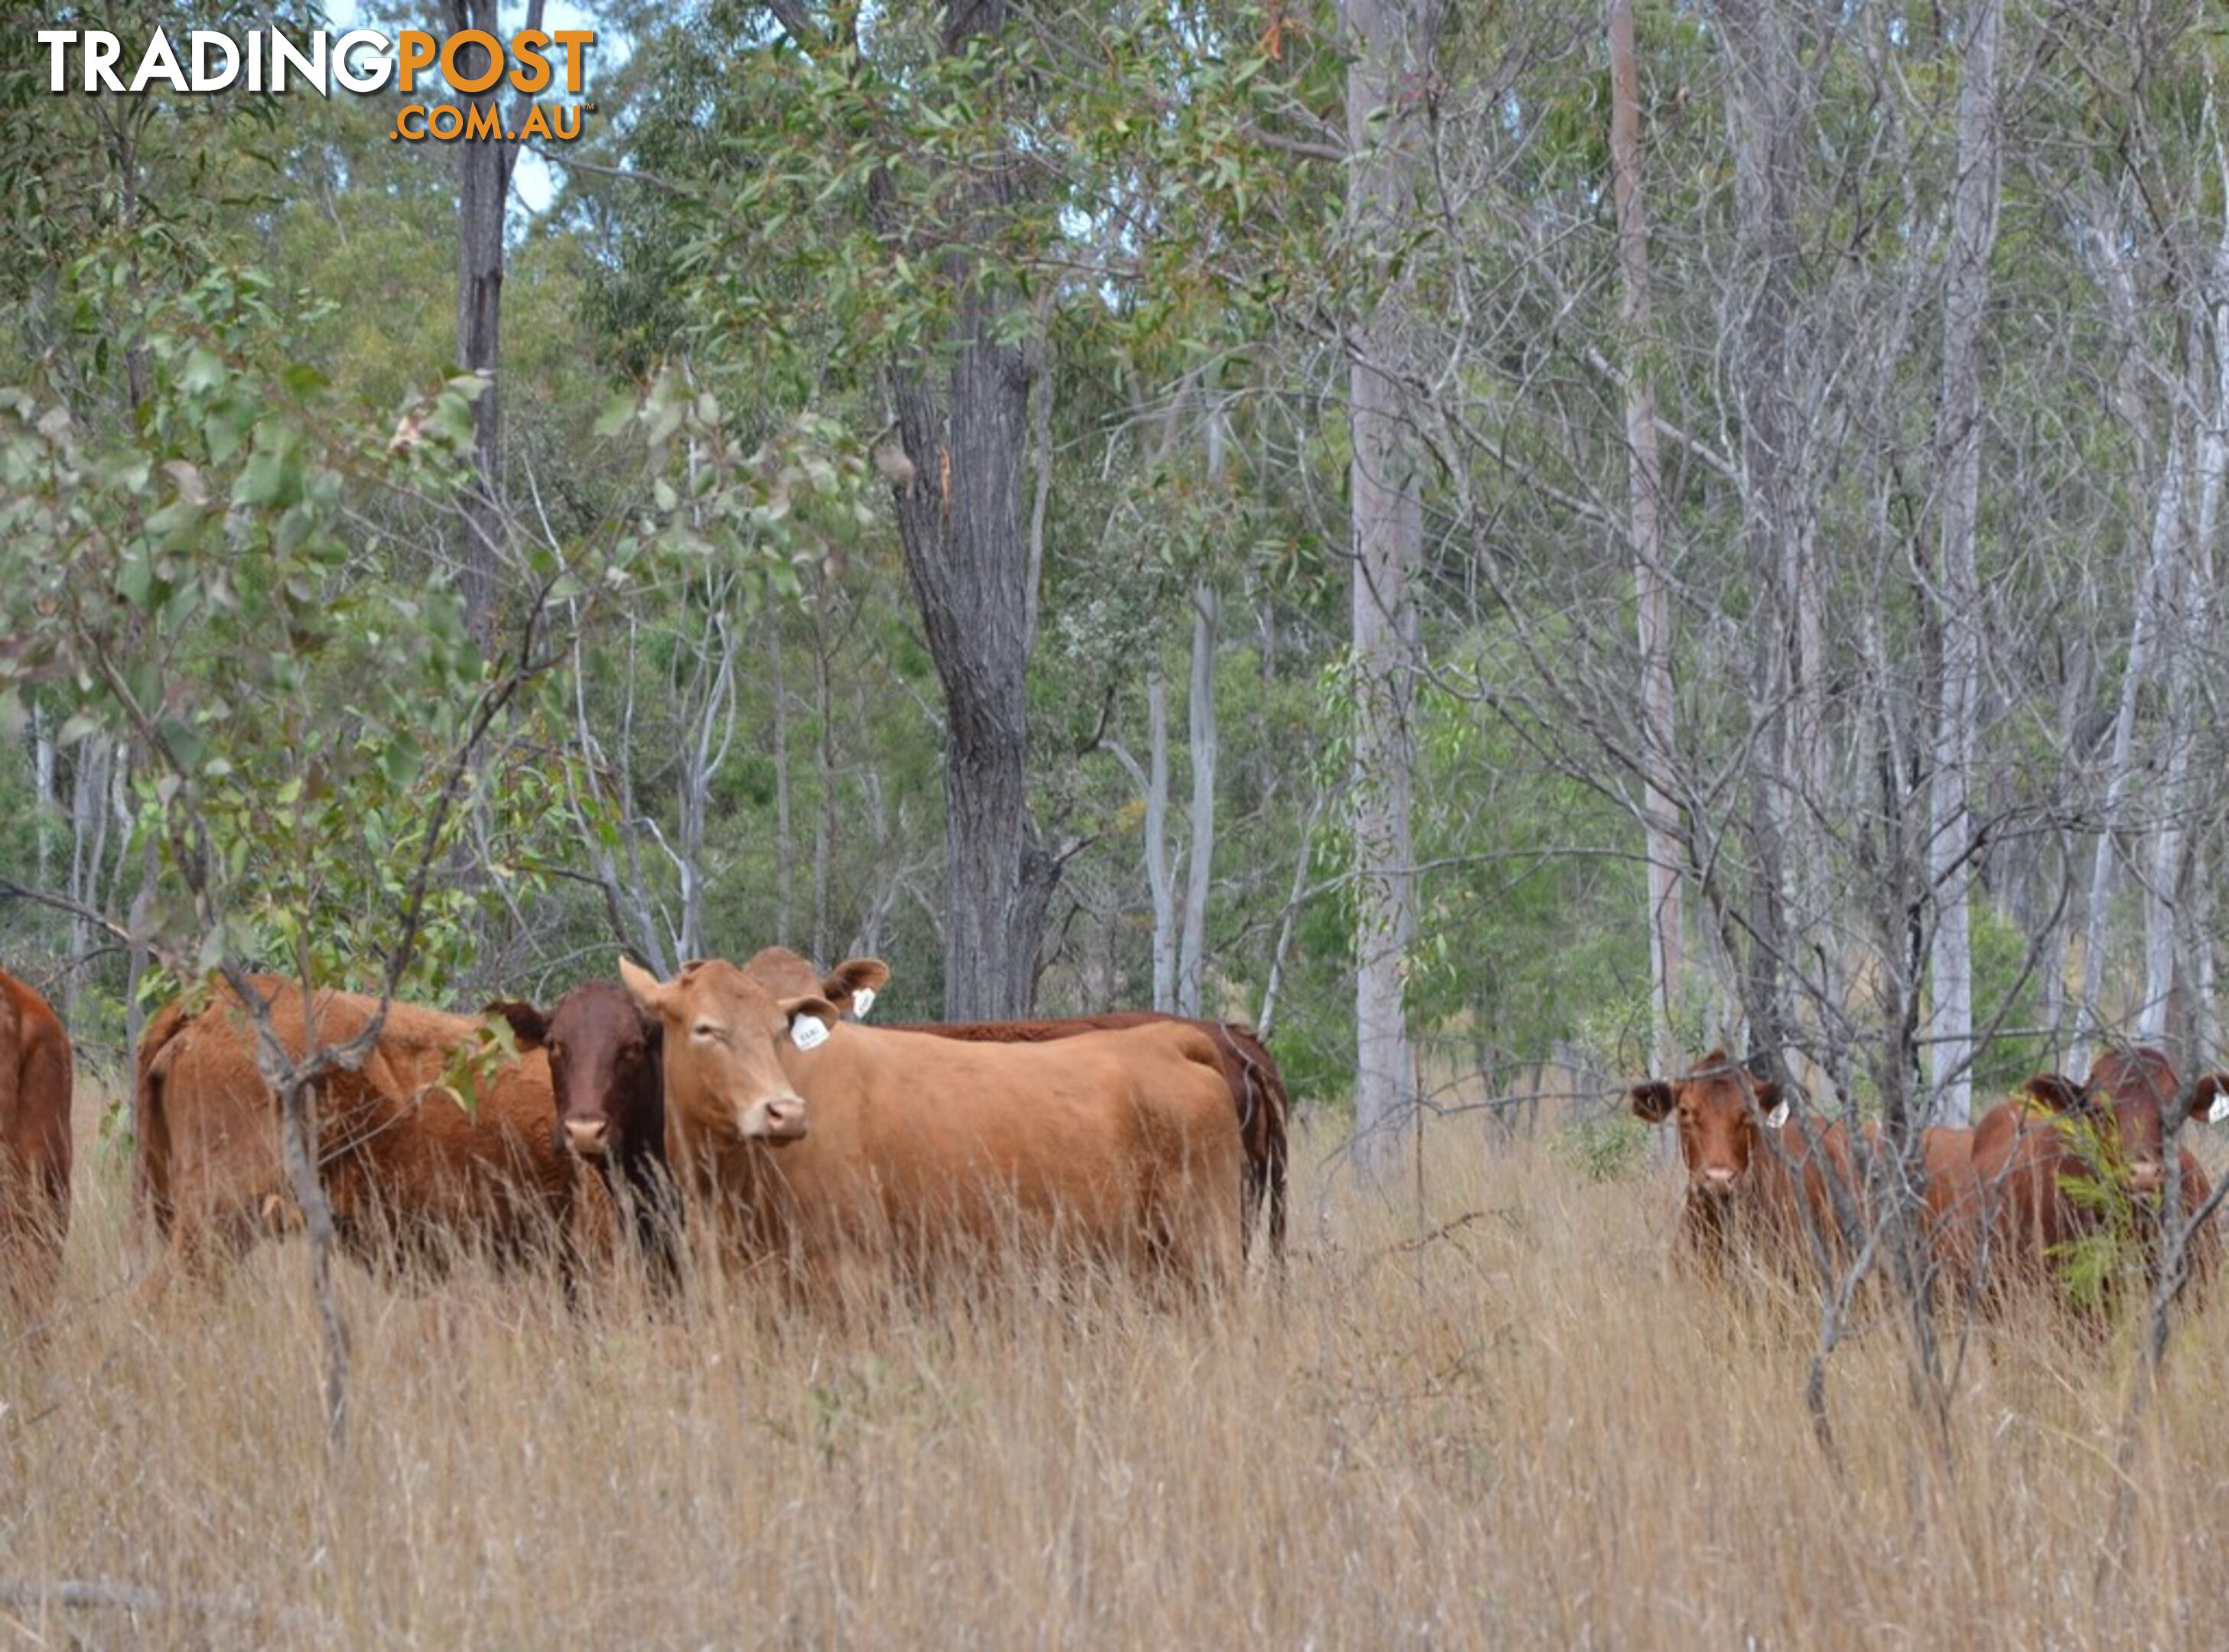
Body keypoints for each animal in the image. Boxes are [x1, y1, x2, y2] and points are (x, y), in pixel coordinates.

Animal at [620, 954, 1248, 1293]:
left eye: (781, 1029)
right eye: (705, 1028)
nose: (785, 1112)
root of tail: (1164, 1038)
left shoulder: (855, 1276)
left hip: (1210, 1248)